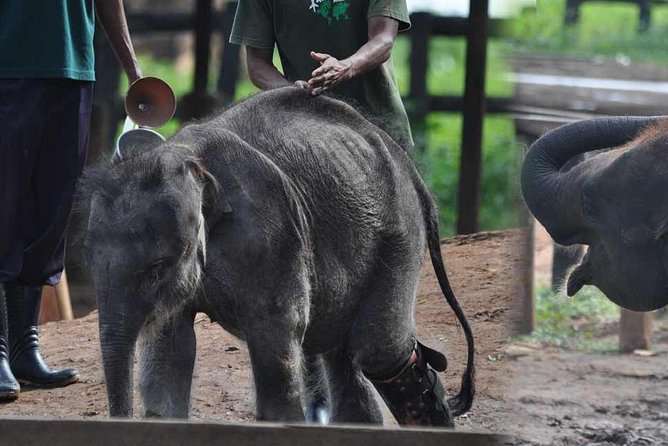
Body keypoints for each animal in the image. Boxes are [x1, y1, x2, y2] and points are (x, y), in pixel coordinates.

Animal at [79, 87, 475, 425]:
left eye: (158, 267)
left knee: (379, 350)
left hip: (398, 232)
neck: (188, 160)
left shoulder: (272, 233)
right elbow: (170, 348)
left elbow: (277, 333)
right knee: (340, 346)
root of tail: (411, 169)